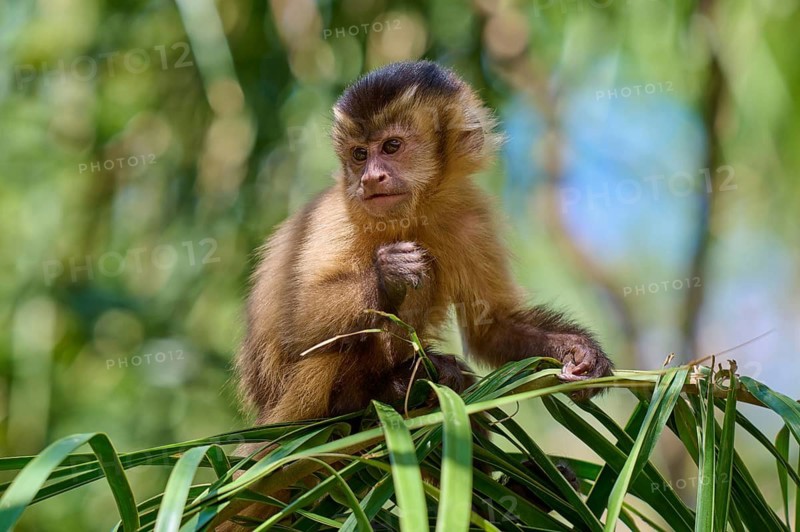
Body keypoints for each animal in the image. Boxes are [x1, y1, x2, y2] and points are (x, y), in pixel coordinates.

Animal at [227, 60, 612, 526]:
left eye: (391, 147)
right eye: (360, 154)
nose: (370, 176)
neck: (410, 213)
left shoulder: (469, 216)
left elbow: (493, 328)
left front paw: (579, 351)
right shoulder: (336, 216)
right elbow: (294, 326)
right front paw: (386, 276)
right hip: (293, 414)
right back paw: (374, 395)